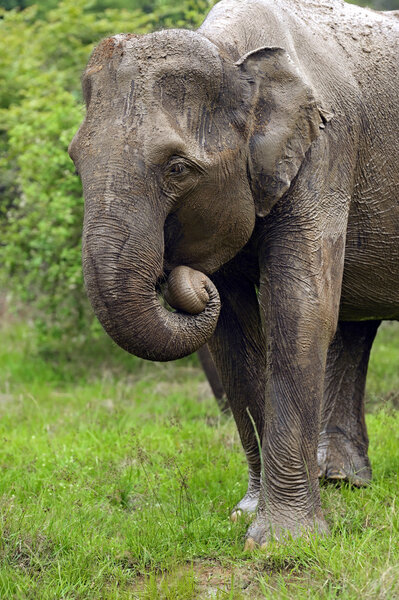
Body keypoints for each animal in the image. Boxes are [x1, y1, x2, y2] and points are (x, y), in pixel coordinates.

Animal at [69, 0, 399, 548]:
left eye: (177, 168)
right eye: (75, 161)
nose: (183, 277)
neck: (232, 55)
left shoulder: (327, 150)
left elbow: (301, 306)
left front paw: (284, 540)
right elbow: (231, 333)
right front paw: (244, 515)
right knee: (357, 328)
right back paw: (342, 480)